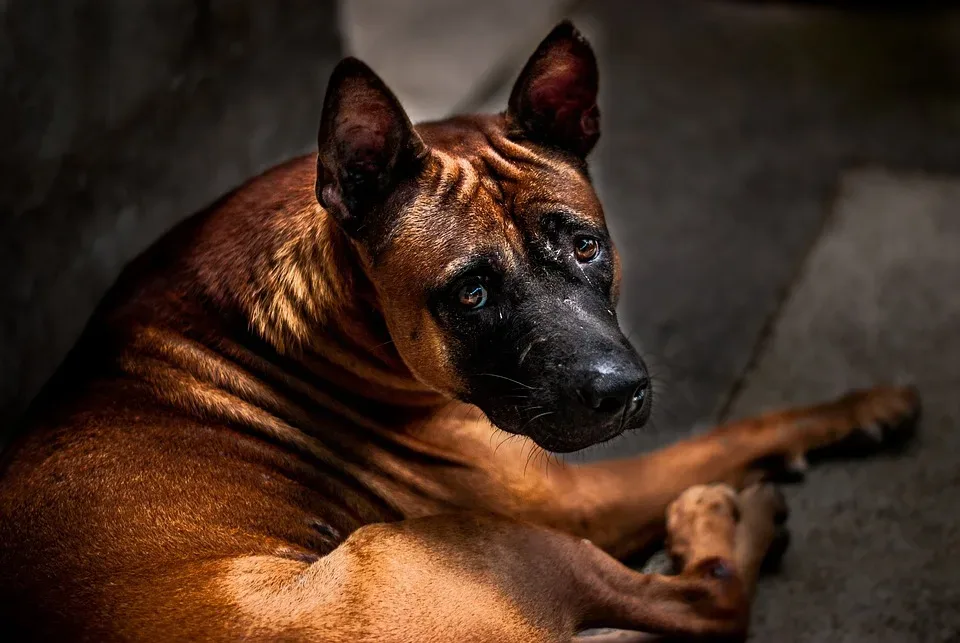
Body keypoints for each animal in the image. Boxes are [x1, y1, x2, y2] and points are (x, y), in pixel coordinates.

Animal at [0, 22, 920, 640]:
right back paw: (724, 525)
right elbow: (734, 431)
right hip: (504, 543)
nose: (620, 392)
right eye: (472, 293)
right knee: (707, 603)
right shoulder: (580, 498)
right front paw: (860, 405)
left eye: (586, 245)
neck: (335, 295)